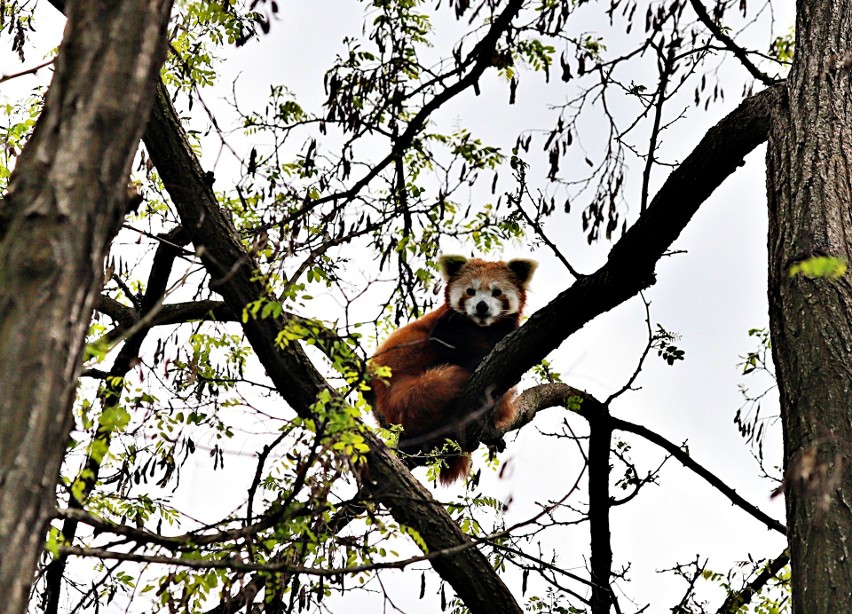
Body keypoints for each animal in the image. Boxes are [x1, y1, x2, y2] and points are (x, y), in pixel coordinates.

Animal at [370, 255, 536, 486]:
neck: (483, 328)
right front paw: (479, 358)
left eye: (496, 292)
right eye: (470, 291)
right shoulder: (447, 325)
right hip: (404, 394)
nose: (481, 306)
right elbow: (449, 345)